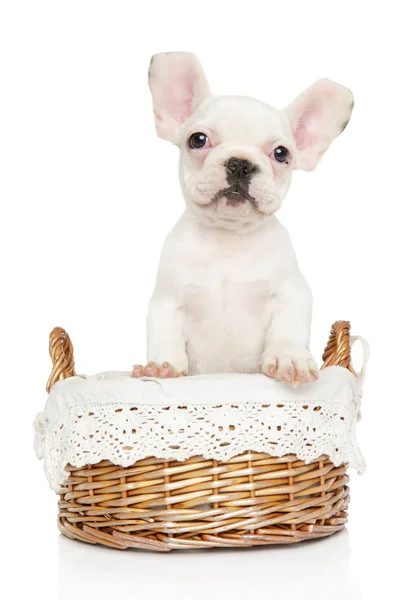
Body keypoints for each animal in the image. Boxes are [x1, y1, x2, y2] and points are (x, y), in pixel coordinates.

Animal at [134, 54, 354, 386]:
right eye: (197, 140)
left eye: (281, 153)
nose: (240, 163)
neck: (229, 236)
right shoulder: (167, 300)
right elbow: (164, 334)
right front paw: (164, 366)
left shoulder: (291, 291)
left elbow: (288, 327)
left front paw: (289, 358)